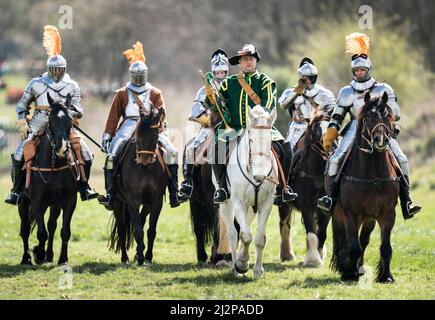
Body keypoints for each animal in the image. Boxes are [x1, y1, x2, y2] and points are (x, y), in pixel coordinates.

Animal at [19, 93, 80, 264]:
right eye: (51, 119)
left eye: (70, 119)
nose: (62, 148)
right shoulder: (36, 200)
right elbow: (41, 233)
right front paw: (38, 254)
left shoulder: (69, 200)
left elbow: (64, 231)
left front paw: (63, 258)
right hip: (24, 202)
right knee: (25, 229)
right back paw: (26, 257)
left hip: (53, 204)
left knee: (51, 225)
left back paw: (50, 255)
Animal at [108, 107, 166, 264]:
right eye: (138, 134)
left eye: (155, 135)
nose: (144, 161)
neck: (146, 170)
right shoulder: (132, 200)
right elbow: (138, 230)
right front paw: (140, 257)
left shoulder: (156, 201)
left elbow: (151, 230)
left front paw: (148, 256)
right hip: (118, 202)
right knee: (122, 229)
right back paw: (125, 257)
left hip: (145, 204)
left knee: (141, 220)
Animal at [215, 105, 280, 278]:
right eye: (250, 139)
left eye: (270, 140)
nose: (260, 176)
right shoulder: (238, 202)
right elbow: (245, 235)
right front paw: (242, 264)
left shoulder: (266, 203)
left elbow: (259, 238)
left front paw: (257, 270)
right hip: (226, 204)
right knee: (232, 233)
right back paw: (235, 268)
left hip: (251, 208)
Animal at [282, 111, 332, 266]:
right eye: (316, 130)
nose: (330, 145)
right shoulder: (306, 206)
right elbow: (311, 233)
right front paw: (313, 260)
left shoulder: (325, 209)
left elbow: (321, 234)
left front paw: (319, 255)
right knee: (284, 225)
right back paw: (287, 255)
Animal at [332, 91, 400, 282]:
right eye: (368, 115)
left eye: (388, 115)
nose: (380, 140)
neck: (373, 174)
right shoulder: (351, 213)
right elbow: (353, 246)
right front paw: (349, 273)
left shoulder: (388, 213)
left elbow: (385, 247)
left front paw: (386, 276)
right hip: (340, 215)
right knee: (345, 241)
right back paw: (347, 267)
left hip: (369, 218)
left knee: (363, 240)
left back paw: (360, 267)